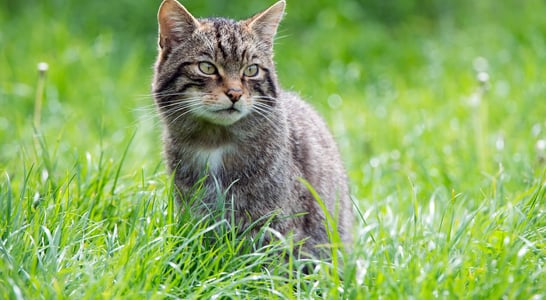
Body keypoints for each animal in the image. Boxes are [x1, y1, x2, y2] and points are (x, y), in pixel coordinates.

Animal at [151, 0, 352, 258]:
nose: (235, 93)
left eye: (251, 70)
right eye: (207, 67)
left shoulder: (275, 227)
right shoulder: (194, 215)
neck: (215, 142)